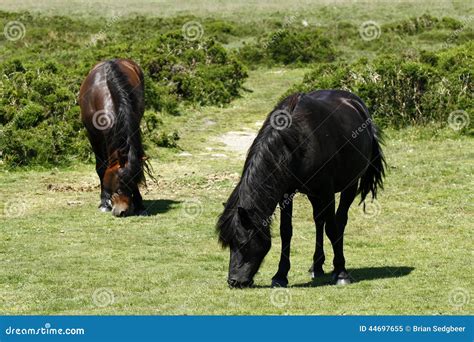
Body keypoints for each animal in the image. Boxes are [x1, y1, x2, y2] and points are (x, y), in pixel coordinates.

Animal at [79, 58, 148, 216]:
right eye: (119, 185)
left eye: (133, 182)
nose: (123, 211)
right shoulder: (93, 136)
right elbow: (101, 168)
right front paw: (104, 202)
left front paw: (139, 203)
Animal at [218, 89, 386, 288]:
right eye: (229, 244)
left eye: (243, 243)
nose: (234, 281)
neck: (297, 141)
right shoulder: (286, 192)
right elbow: (286, 231)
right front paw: (280, 275)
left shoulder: (327, 191)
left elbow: (332, 229)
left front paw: (341, 273)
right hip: (314, 194)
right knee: (319, 220)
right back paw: (316, 266)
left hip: (350, 185)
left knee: (339, 221)